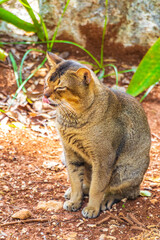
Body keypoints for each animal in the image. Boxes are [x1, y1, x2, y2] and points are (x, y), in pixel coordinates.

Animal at [42, 51, 150, 218]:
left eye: (61, 87)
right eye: (47, 82)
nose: (45, 94)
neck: (73, 122)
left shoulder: (103, 158)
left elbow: (97, 187)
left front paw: (92, 208)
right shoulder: (70, 152)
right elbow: (75, 181)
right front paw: (74, 201)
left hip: (123, 172)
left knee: (127, 192)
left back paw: (107, 200)